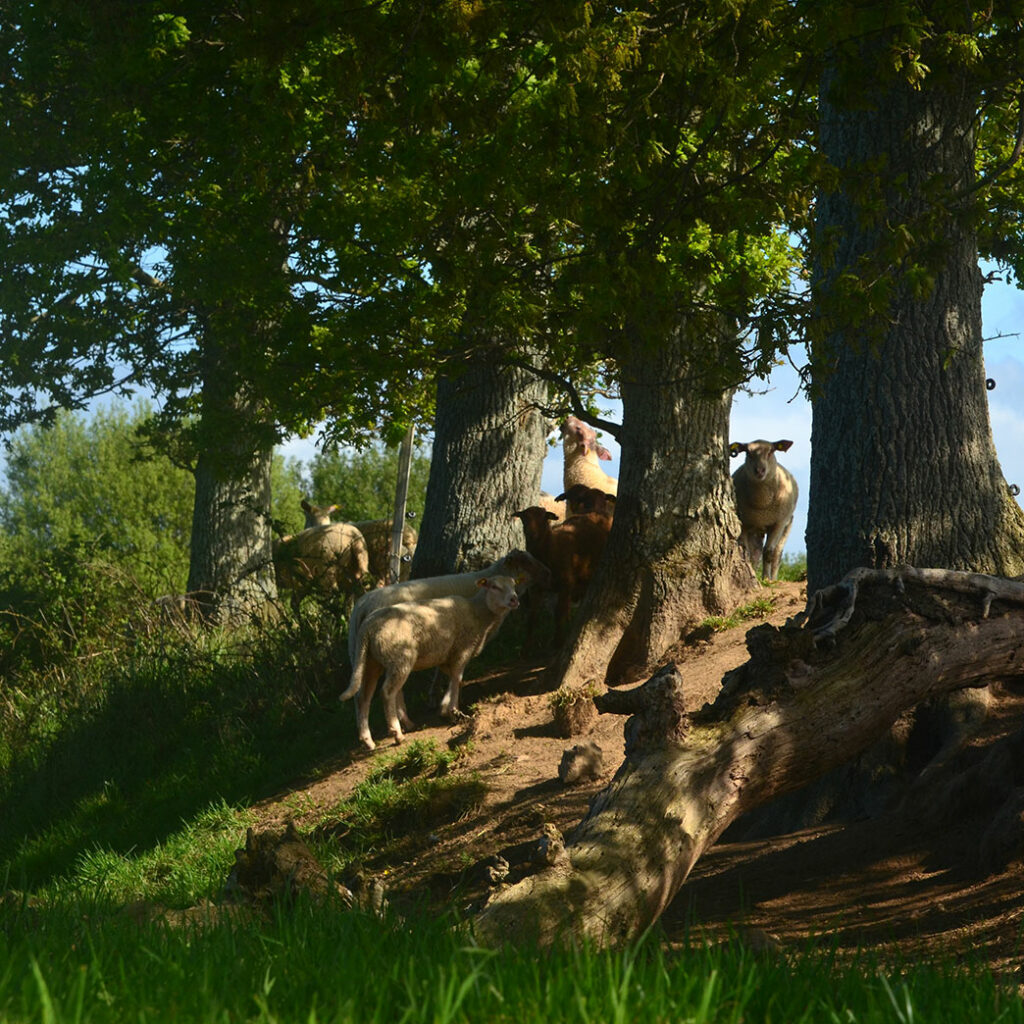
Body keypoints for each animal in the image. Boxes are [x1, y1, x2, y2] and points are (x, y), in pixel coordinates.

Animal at [342, 573, 520, 749]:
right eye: (494, 586)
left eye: (514, 585)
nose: (514, 600)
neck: (477, 613)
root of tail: (367, 627)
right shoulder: (463, 649)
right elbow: (457, 679)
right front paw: (453, 711)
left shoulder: (447, 656)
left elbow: (453, 679)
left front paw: (445, 708)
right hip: (399, 659)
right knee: (387, 693)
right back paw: (397, 734)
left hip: (371, 662)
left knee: (363, 697)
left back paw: (368, 740)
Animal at [729, 440, 798, 585]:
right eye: (747, 452)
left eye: (771, 451)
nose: (760, 470)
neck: (762, 504)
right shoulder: (745, 523)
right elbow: (747, 552)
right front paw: (753, 576)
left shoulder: (778, 522)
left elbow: (768, 552)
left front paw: (766, 578)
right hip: (756, 529)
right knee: (756, 552)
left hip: (787, 523)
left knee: (777, 553)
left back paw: (773, 578)